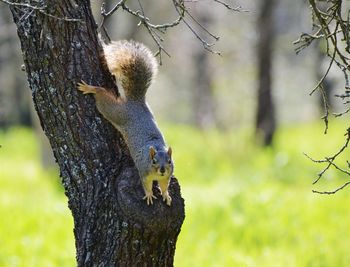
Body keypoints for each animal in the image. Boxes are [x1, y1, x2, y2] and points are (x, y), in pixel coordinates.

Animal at [77, 40, 174, 207]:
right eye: (154, 161)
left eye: (169, 161)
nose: (162, 170)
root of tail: (136, 102)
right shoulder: (143, 172)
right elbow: (146, 185)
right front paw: (149, 194)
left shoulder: (167, 176)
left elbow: (164, 185)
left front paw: (166, 195)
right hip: (116, 113)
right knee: (103, 100)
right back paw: (92, 88)